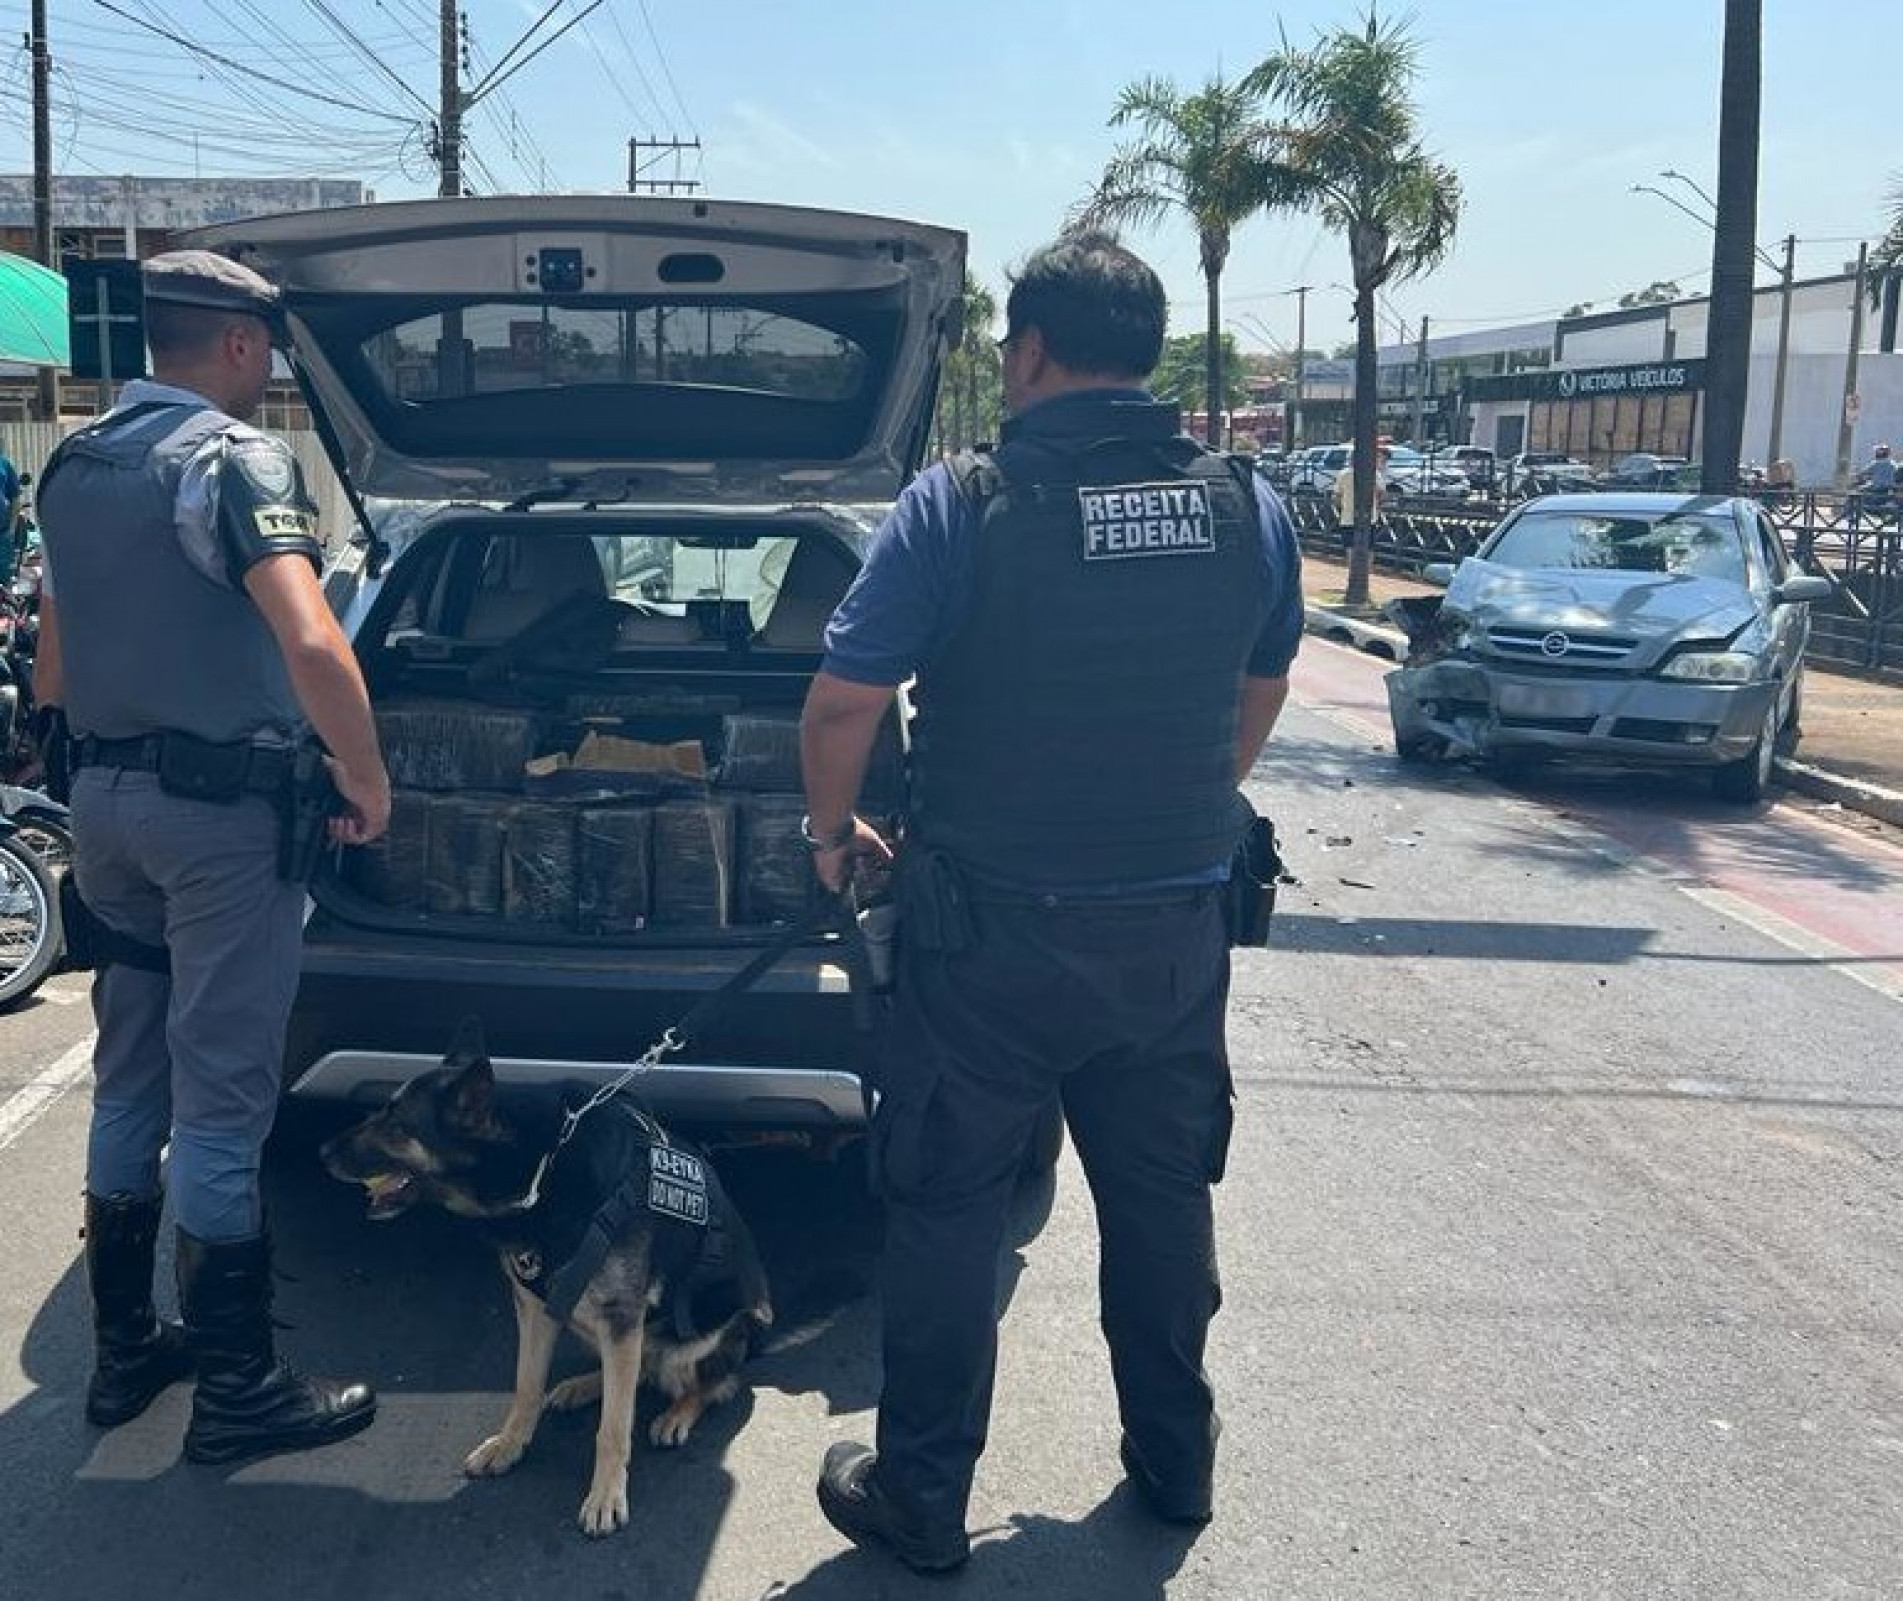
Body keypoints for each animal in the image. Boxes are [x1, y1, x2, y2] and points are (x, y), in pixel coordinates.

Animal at [319, 1027, 772, 1538]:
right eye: (384, 1112)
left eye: (398, 1126)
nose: (322, 1153)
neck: (543, 1164)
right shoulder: (536, 1308)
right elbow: (527, 1385)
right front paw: (509, 1444)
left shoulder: (620, 1316)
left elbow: (614, 1429)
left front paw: (606, 1494)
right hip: (589, 1323)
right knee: (636, 1372)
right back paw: (585, 1385)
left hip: (701, 1336)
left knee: (710, 1384)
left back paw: (677, 1414)